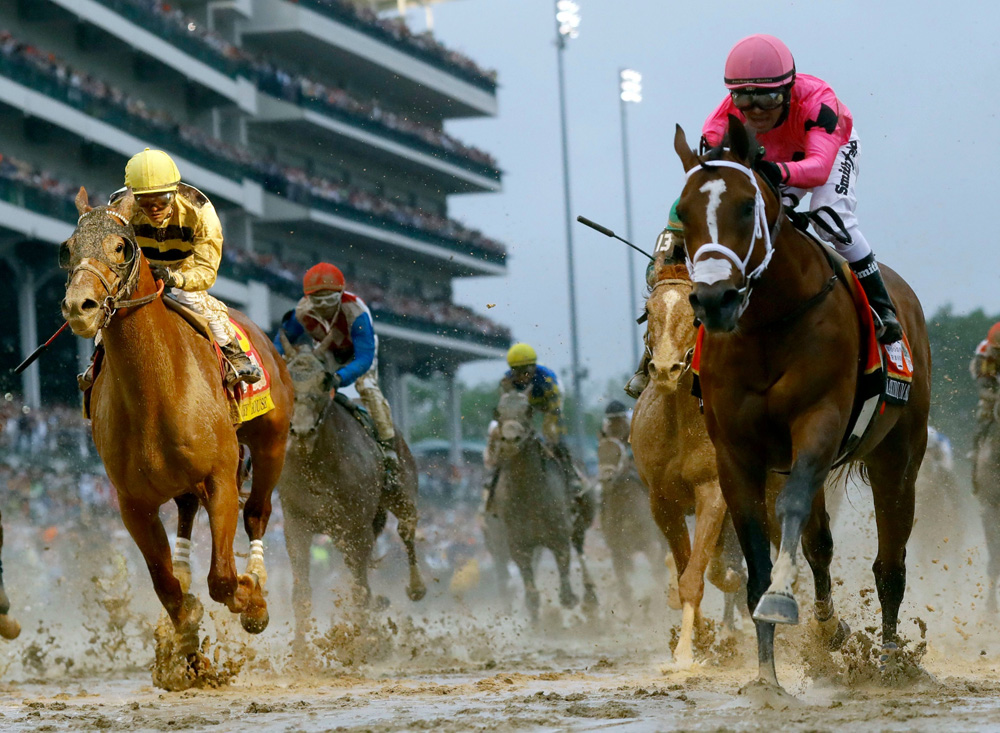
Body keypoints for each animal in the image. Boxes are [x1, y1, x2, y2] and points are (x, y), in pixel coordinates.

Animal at [60, 189, 292, 680]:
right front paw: (187, 646)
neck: (156, 391)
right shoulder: (133, 503)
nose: (78, 307)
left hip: (272, 445)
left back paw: (258, 578)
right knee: (186, 513)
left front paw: (252, 599)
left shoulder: (221, 478)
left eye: (121, 247)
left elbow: (222, 578)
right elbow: (165, 585)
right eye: (67, 248)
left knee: (257, 511)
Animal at [632, 258, 744, 668]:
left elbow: (695, 576)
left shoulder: (712, 490)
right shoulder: (661, 502)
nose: (665, 369)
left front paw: (683, 653)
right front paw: (699, 640)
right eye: (648, 312)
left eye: (694, 315)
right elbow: (687, 571)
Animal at [672, 116, 928, 692]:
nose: (715, 300)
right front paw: (767, 677)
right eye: (684, 211)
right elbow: (757, 552)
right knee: (820, 546)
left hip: (899, 457)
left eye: (747, 207)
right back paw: (830, 631)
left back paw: (889, 660)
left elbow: (787, 513)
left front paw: (781, 602)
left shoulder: (818, 422)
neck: (768, 323)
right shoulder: (736, 453)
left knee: (890, 564)